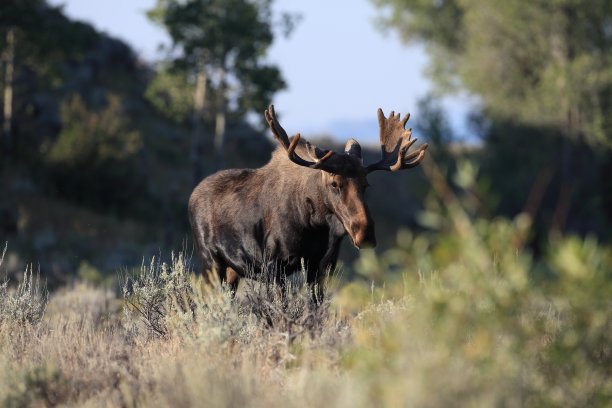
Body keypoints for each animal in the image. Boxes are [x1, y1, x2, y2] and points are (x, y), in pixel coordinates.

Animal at [189, 105, 428, 300]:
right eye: (334, 183)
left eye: (366, 184)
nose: (365, 233)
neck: (313, 223)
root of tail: (192, 195)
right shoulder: (274, 267)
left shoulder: (318, 266)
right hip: (210, 262)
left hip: (232, 270)